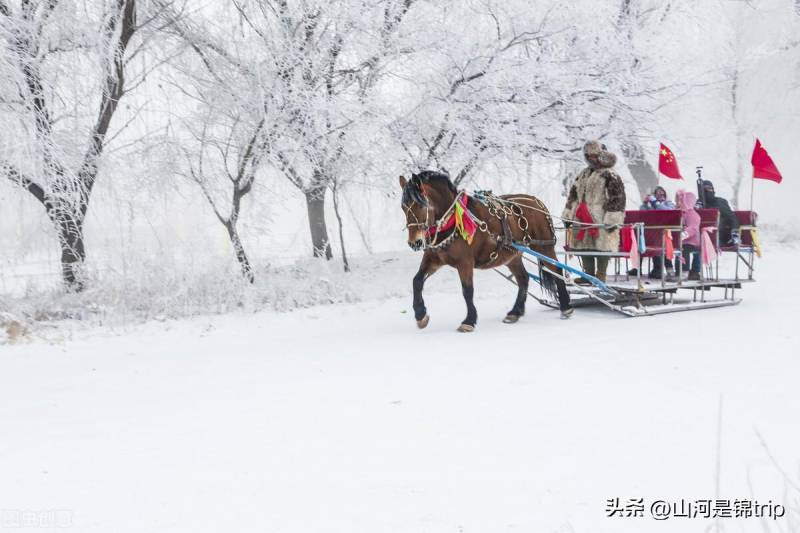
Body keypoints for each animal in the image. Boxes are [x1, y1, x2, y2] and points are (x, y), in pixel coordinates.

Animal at [400, 169, 576, 332]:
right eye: (403, 207)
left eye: (420, 204)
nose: (415, 242)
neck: (453, 219)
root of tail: (536, 201)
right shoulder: (434, 259)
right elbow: (416, 281)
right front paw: (420, 315)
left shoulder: (465, 262)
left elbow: (467, 290)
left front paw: (469, 321)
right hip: (512, 255)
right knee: (523, 278)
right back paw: (515, 312)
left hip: (544, 247)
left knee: (557, 271)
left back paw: (566, 307)